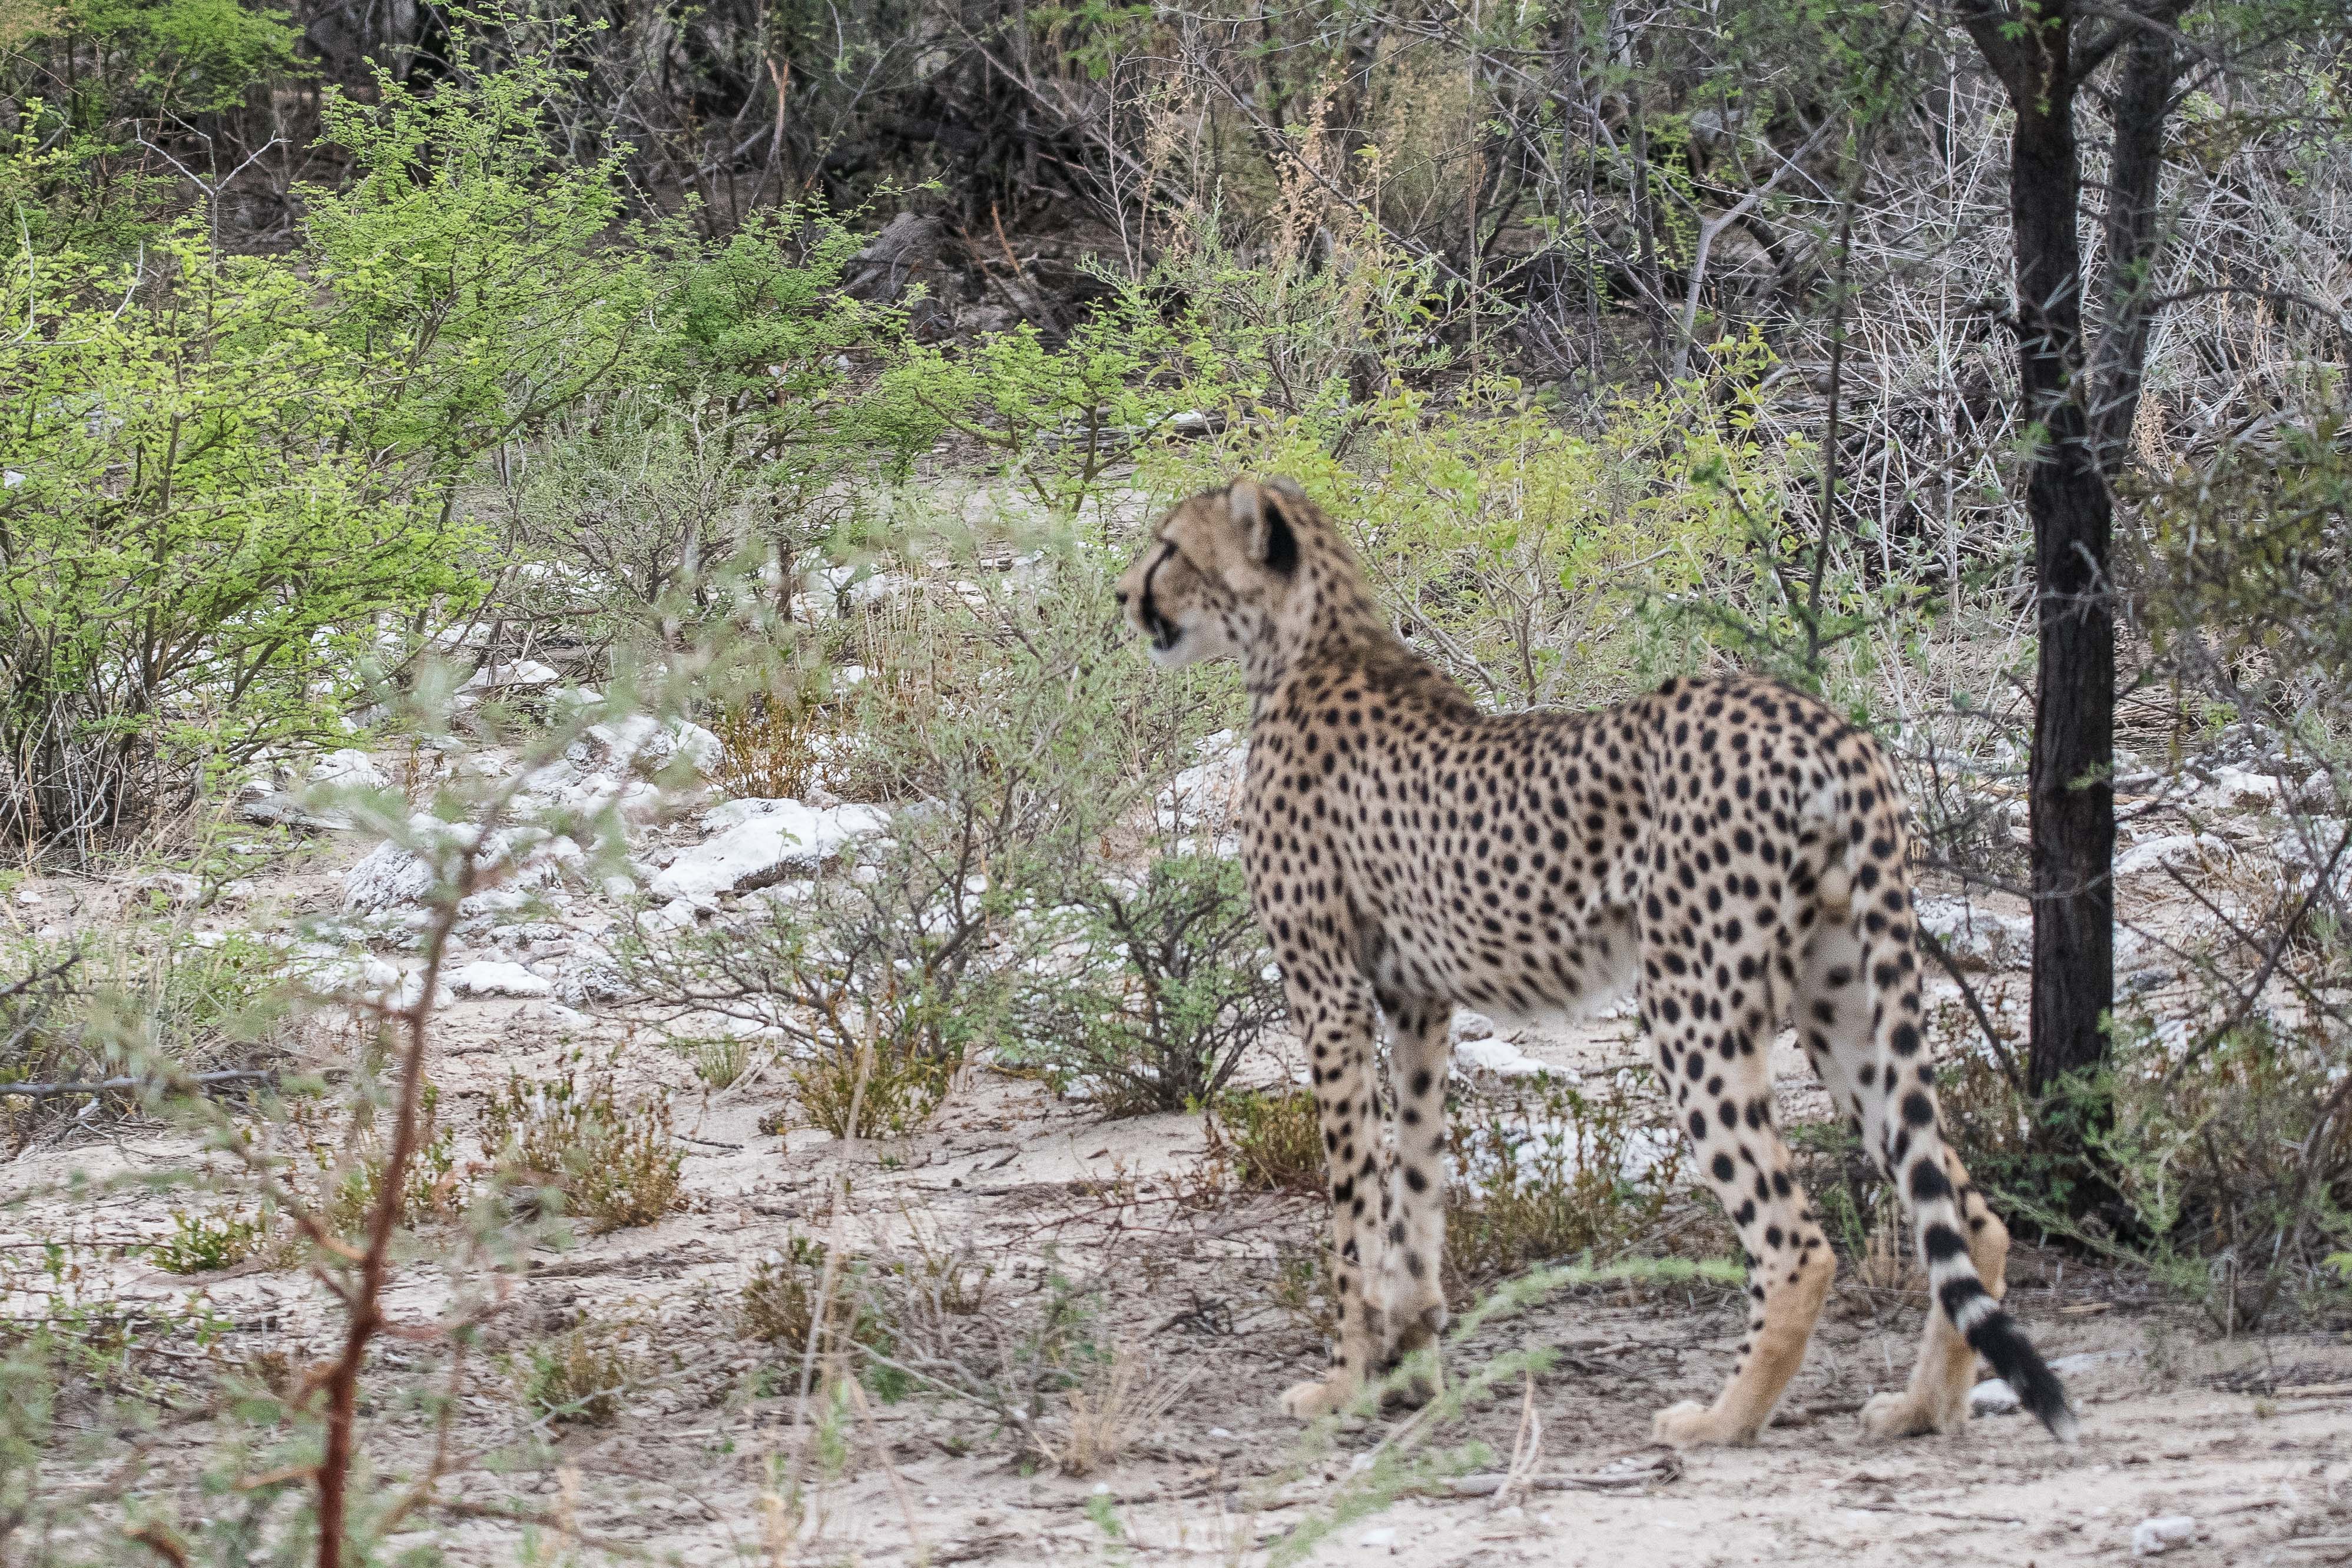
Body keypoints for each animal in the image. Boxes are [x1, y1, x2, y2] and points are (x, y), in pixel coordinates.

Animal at [1110, 479, 2069, 1448]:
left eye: (1169, 548)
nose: (1123, 597)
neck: (1305, 641)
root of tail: (1815, 719)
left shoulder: (1328, 992)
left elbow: (1354, 1209)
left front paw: (1344, 1383)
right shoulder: (1417, 1001)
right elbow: (1414, 1186)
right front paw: (1413, 1365)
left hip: (1690, 1002)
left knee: (1795, 1242)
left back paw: (1722, 1419)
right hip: (1840, 995)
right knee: (1968, 1214)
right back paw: (1923, 1405)